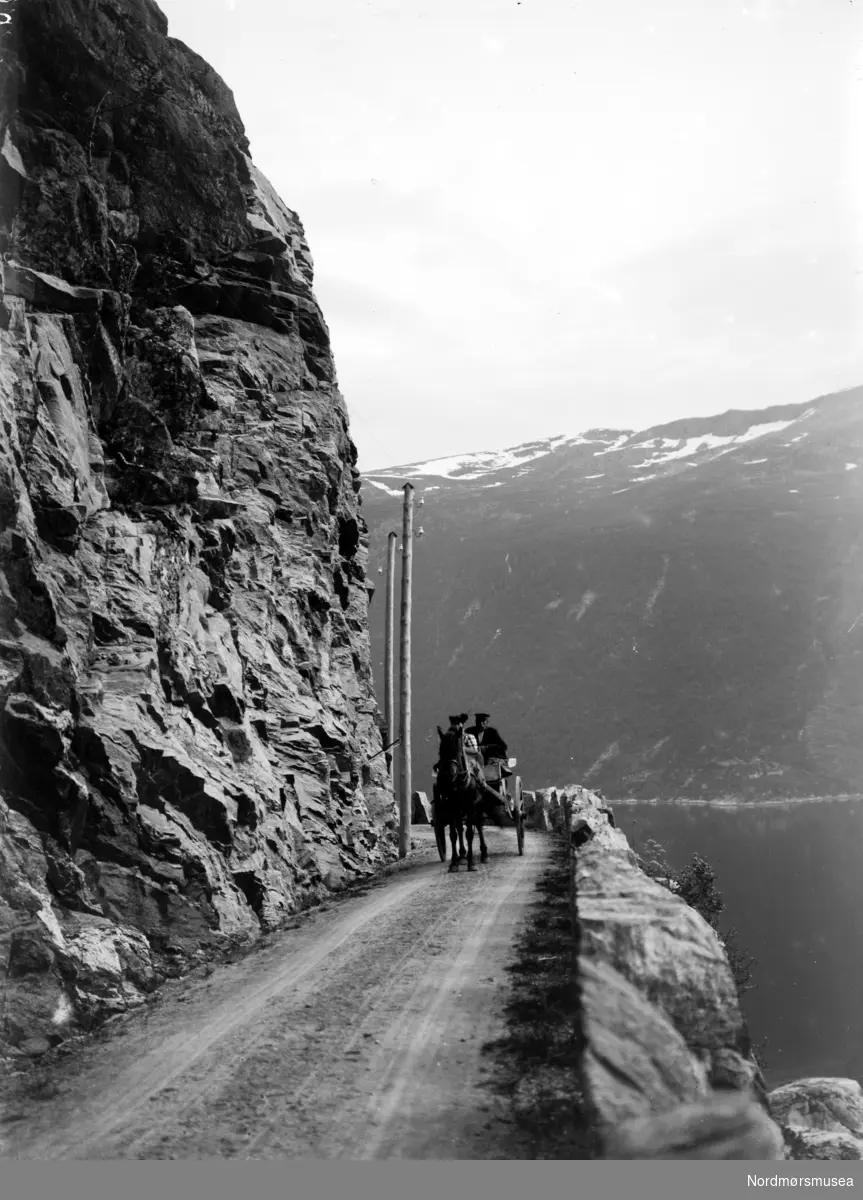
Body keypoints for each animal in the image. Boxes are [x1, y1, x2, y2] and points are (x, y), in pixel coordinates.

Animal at [434, 720, 496, 873]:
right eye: (440, 752)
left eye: (456, 752)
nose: (446, 776)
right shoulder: (450, 806)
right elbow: (453, 834)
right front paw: (454, 863)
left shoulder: (470, 805)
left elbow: (469, 833)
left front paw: (471, 863)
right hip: (458, 808)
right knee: (459, 828)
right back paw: (462, 856)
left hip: (478, 804)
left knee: (478, 825)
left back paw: (484, 854)